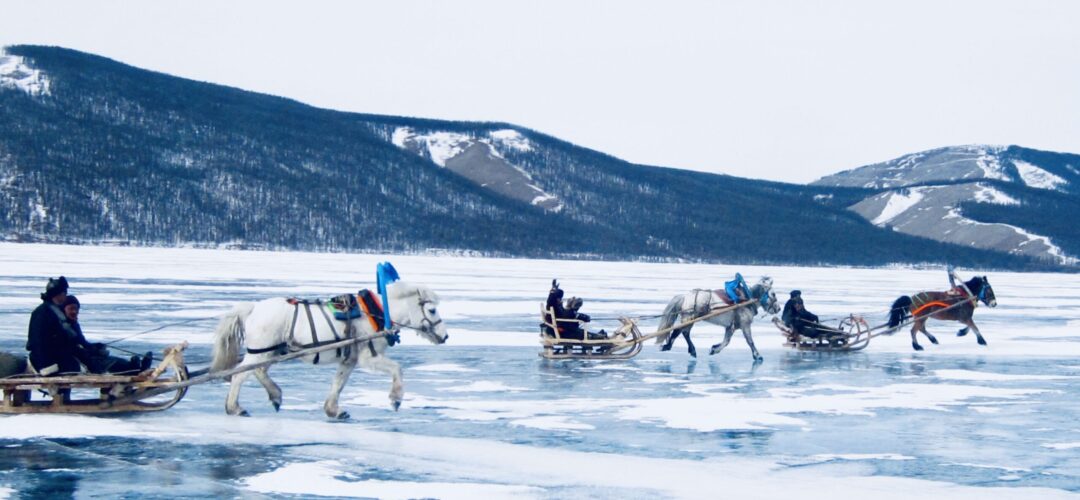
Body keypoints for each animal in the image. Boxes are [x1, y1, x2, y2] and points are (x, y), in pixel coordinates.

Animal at [210, 281, 448, 419]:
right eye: (432, 310)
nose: (445, 336)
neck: (378, 312)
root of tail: (253, 308)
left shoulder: (349, 359)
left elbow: (338, 383)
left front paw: (334, 410)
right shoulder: (368, 356)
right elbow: (397, 368)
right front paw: (396, 398)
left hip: (270, 351)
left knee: (258, 371)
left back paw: (275, 395)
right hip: (261, 351)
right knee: (240, 375)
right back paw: (234, 407)